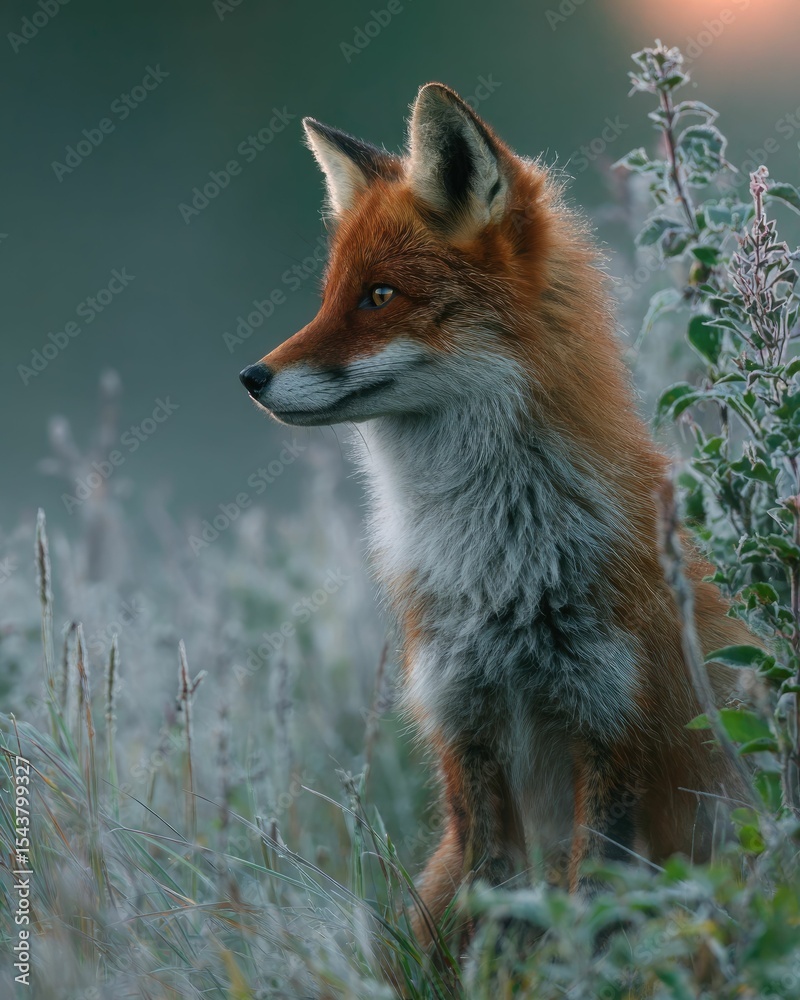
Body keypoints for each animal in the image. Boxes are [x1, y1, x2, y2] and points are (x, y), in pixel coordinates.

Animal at [239, 83, 753, 942]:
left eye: (379, 296)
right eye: (330, 297)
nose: (251, 377)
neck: (502, 566)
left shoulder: (614, 730)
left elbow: (588, 902)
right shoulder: (463, 727)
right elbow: (486, 903)